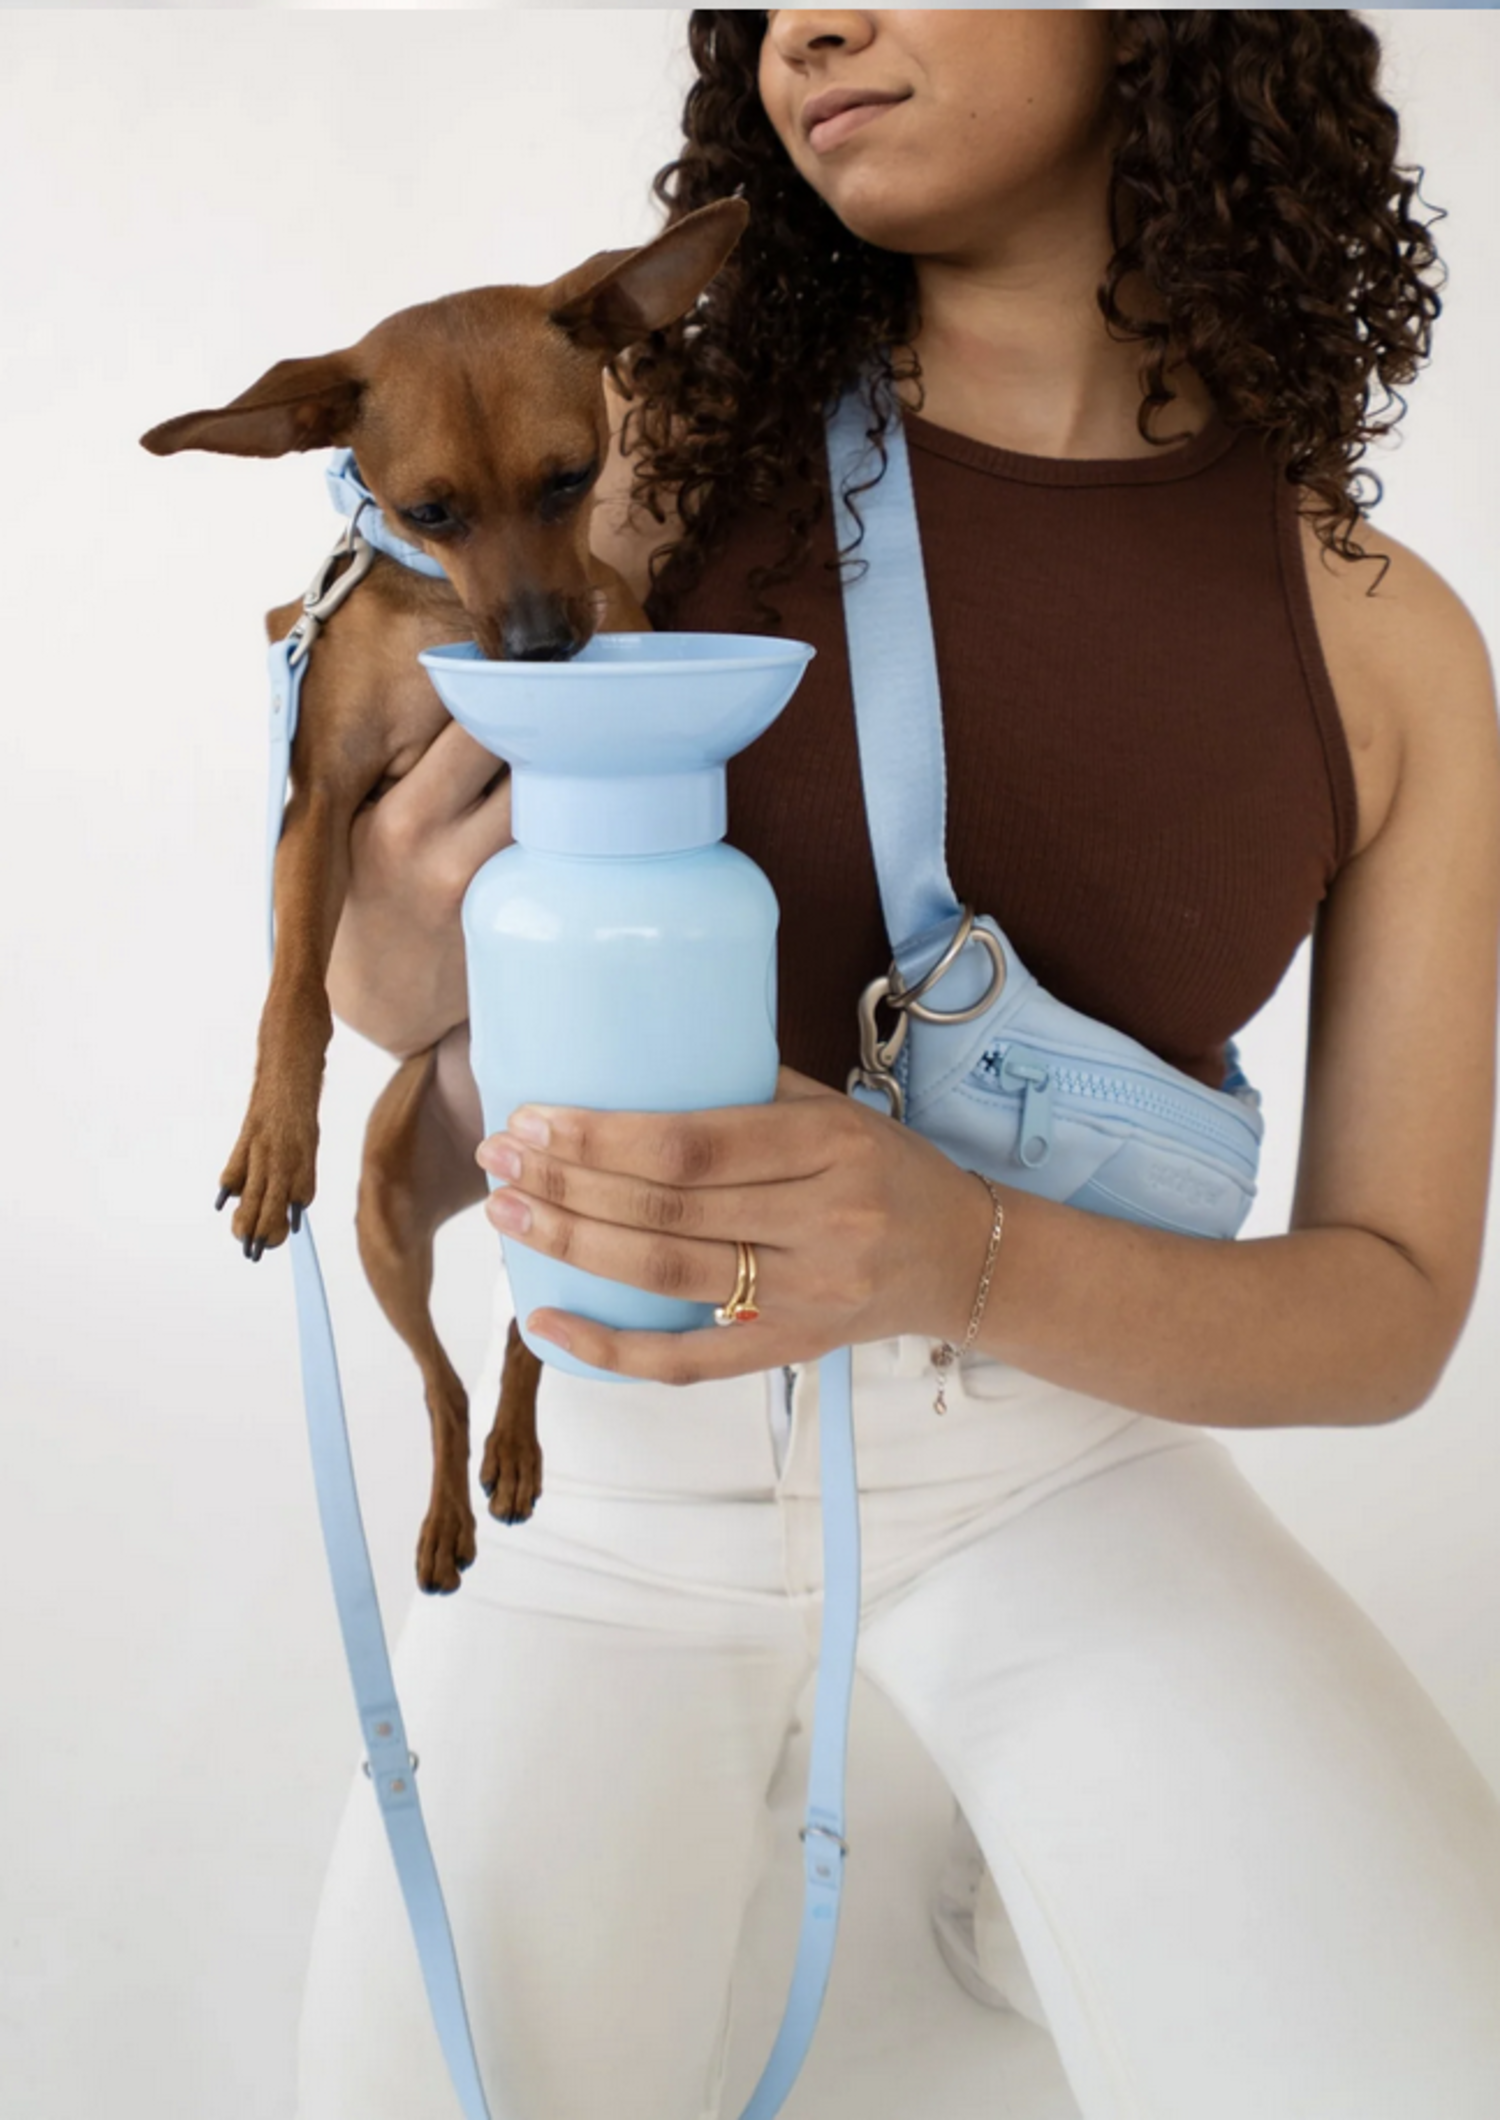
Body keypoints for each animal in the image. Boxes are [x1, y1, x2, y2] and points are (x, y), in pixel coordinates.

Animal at [141, 199, 750, 1594]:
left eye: (573, 477)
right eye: (431, 510)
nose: (540, 646)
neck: (438, 613)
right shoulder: (319, 810)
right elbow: (295, 993)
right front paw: (274, 1134)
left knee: (529, 1336)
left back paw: (516, 1454)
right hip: (380, 1217)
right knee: (442, 1382)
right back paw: (449, 1506)